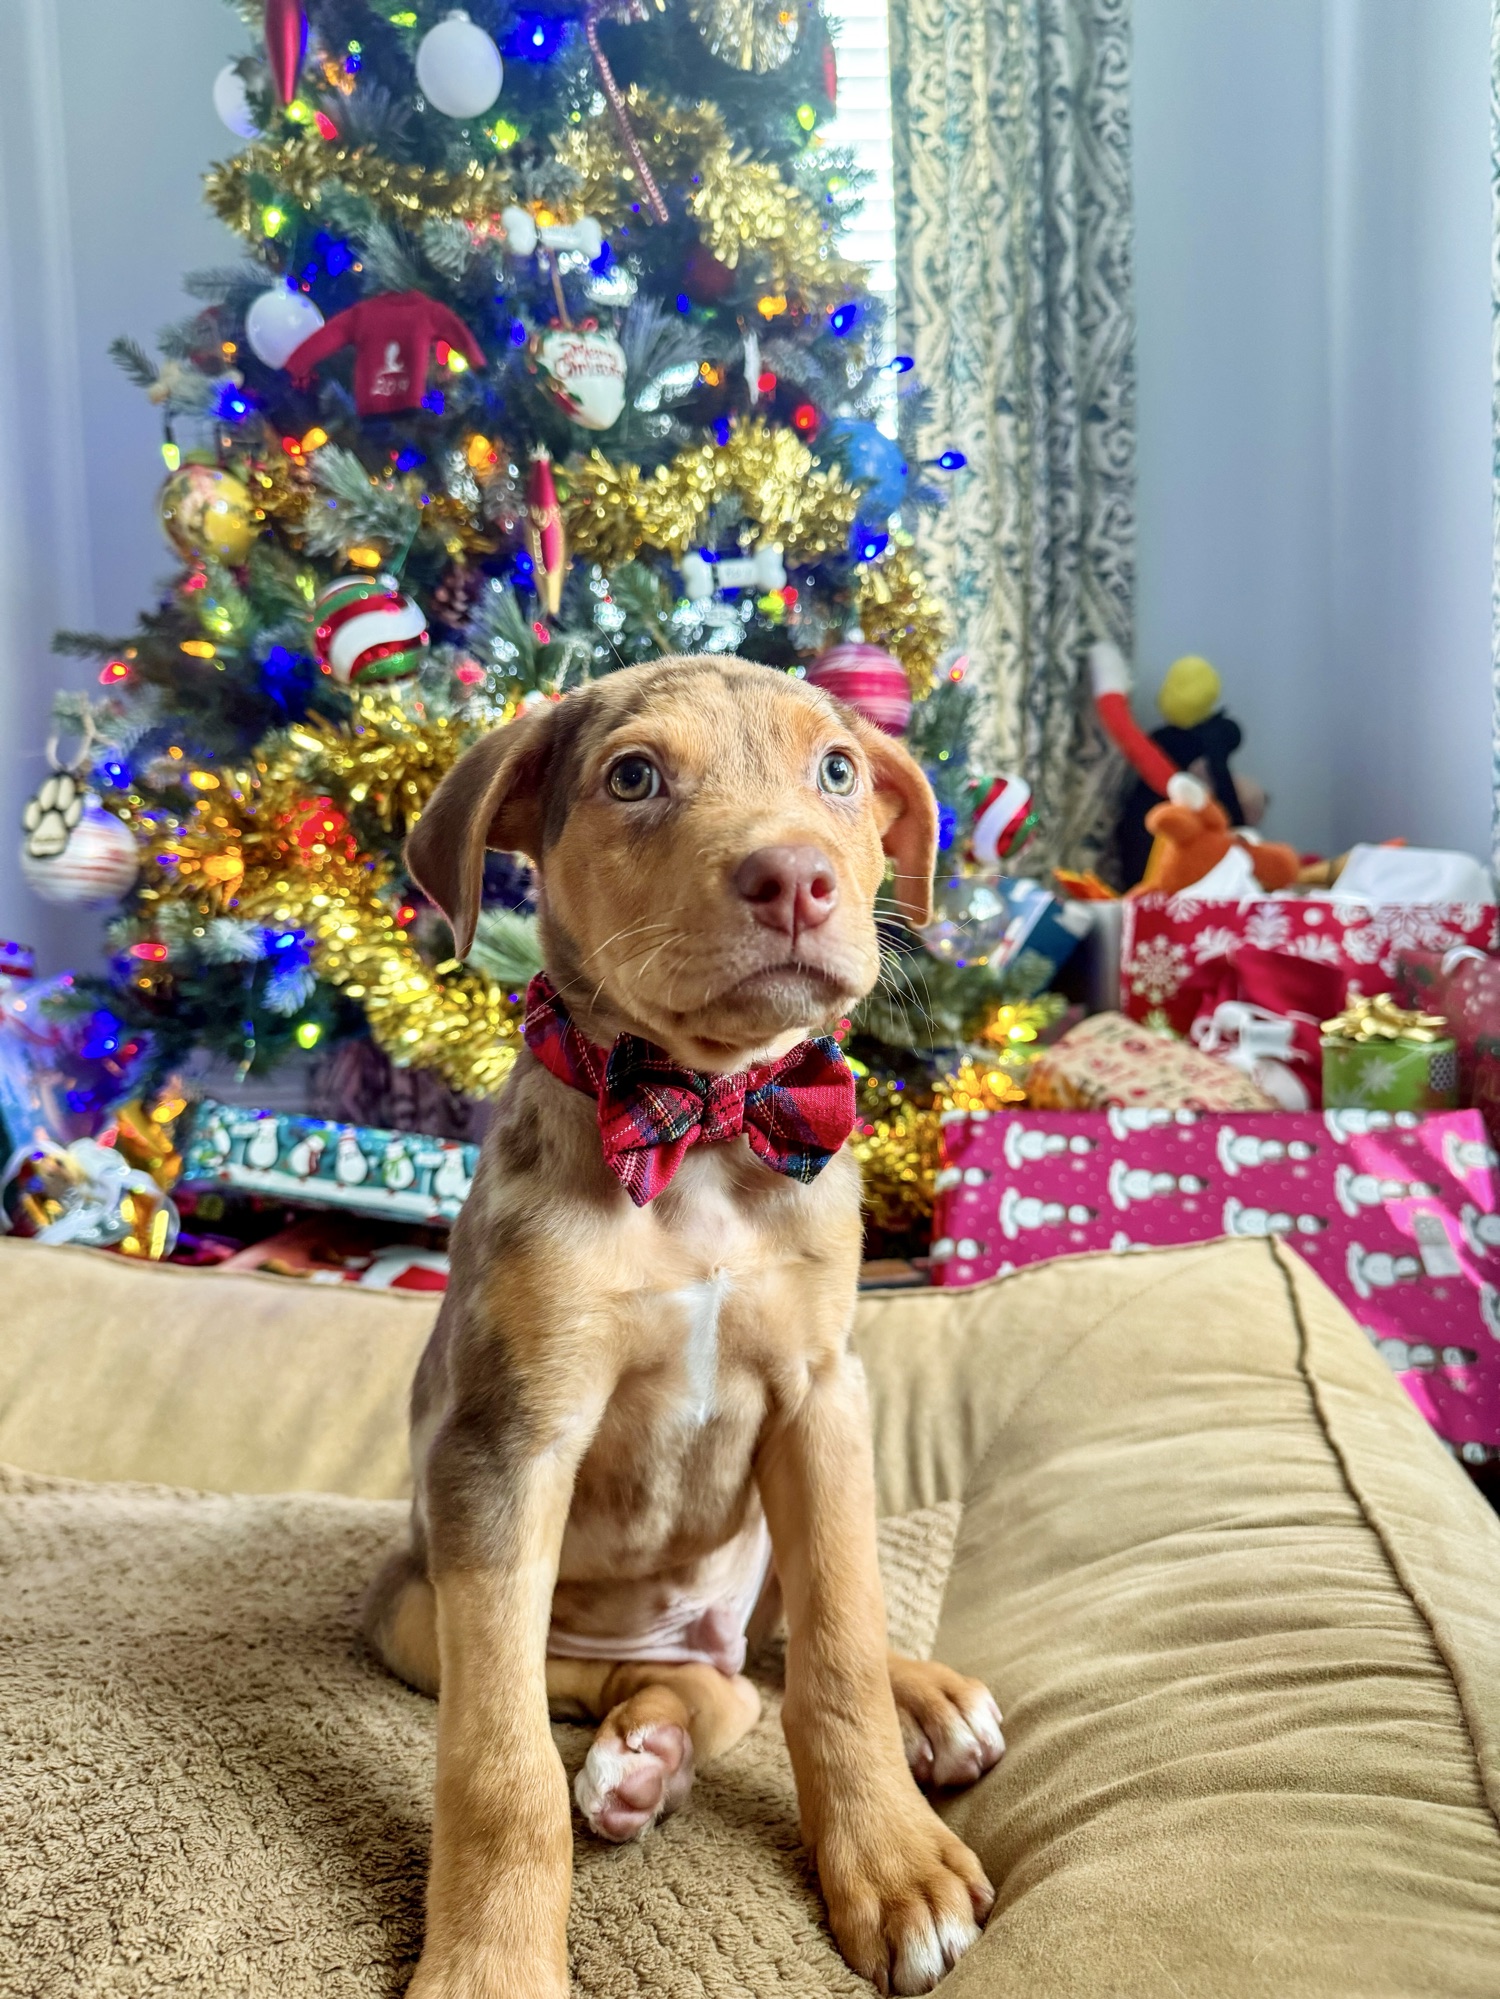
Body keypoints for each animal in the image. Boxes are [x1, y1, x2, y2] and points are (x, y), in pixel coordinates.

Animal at [365, 656, 1005, 1998]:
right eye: (634, 777)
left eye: (838, 770)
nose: (797, 877)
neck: (704, 1123)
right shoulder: (506, 1447)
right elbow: (498, 1759)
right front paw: (493, 1961)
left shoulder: (823, 1399)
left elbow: (841, 1645)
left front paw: (890, 1860)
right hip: (416, 1603)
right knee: (672, 1683)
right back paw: (645, 1753)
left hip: (770, 1529)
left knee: (779, 1651)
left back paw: (919, 1700)